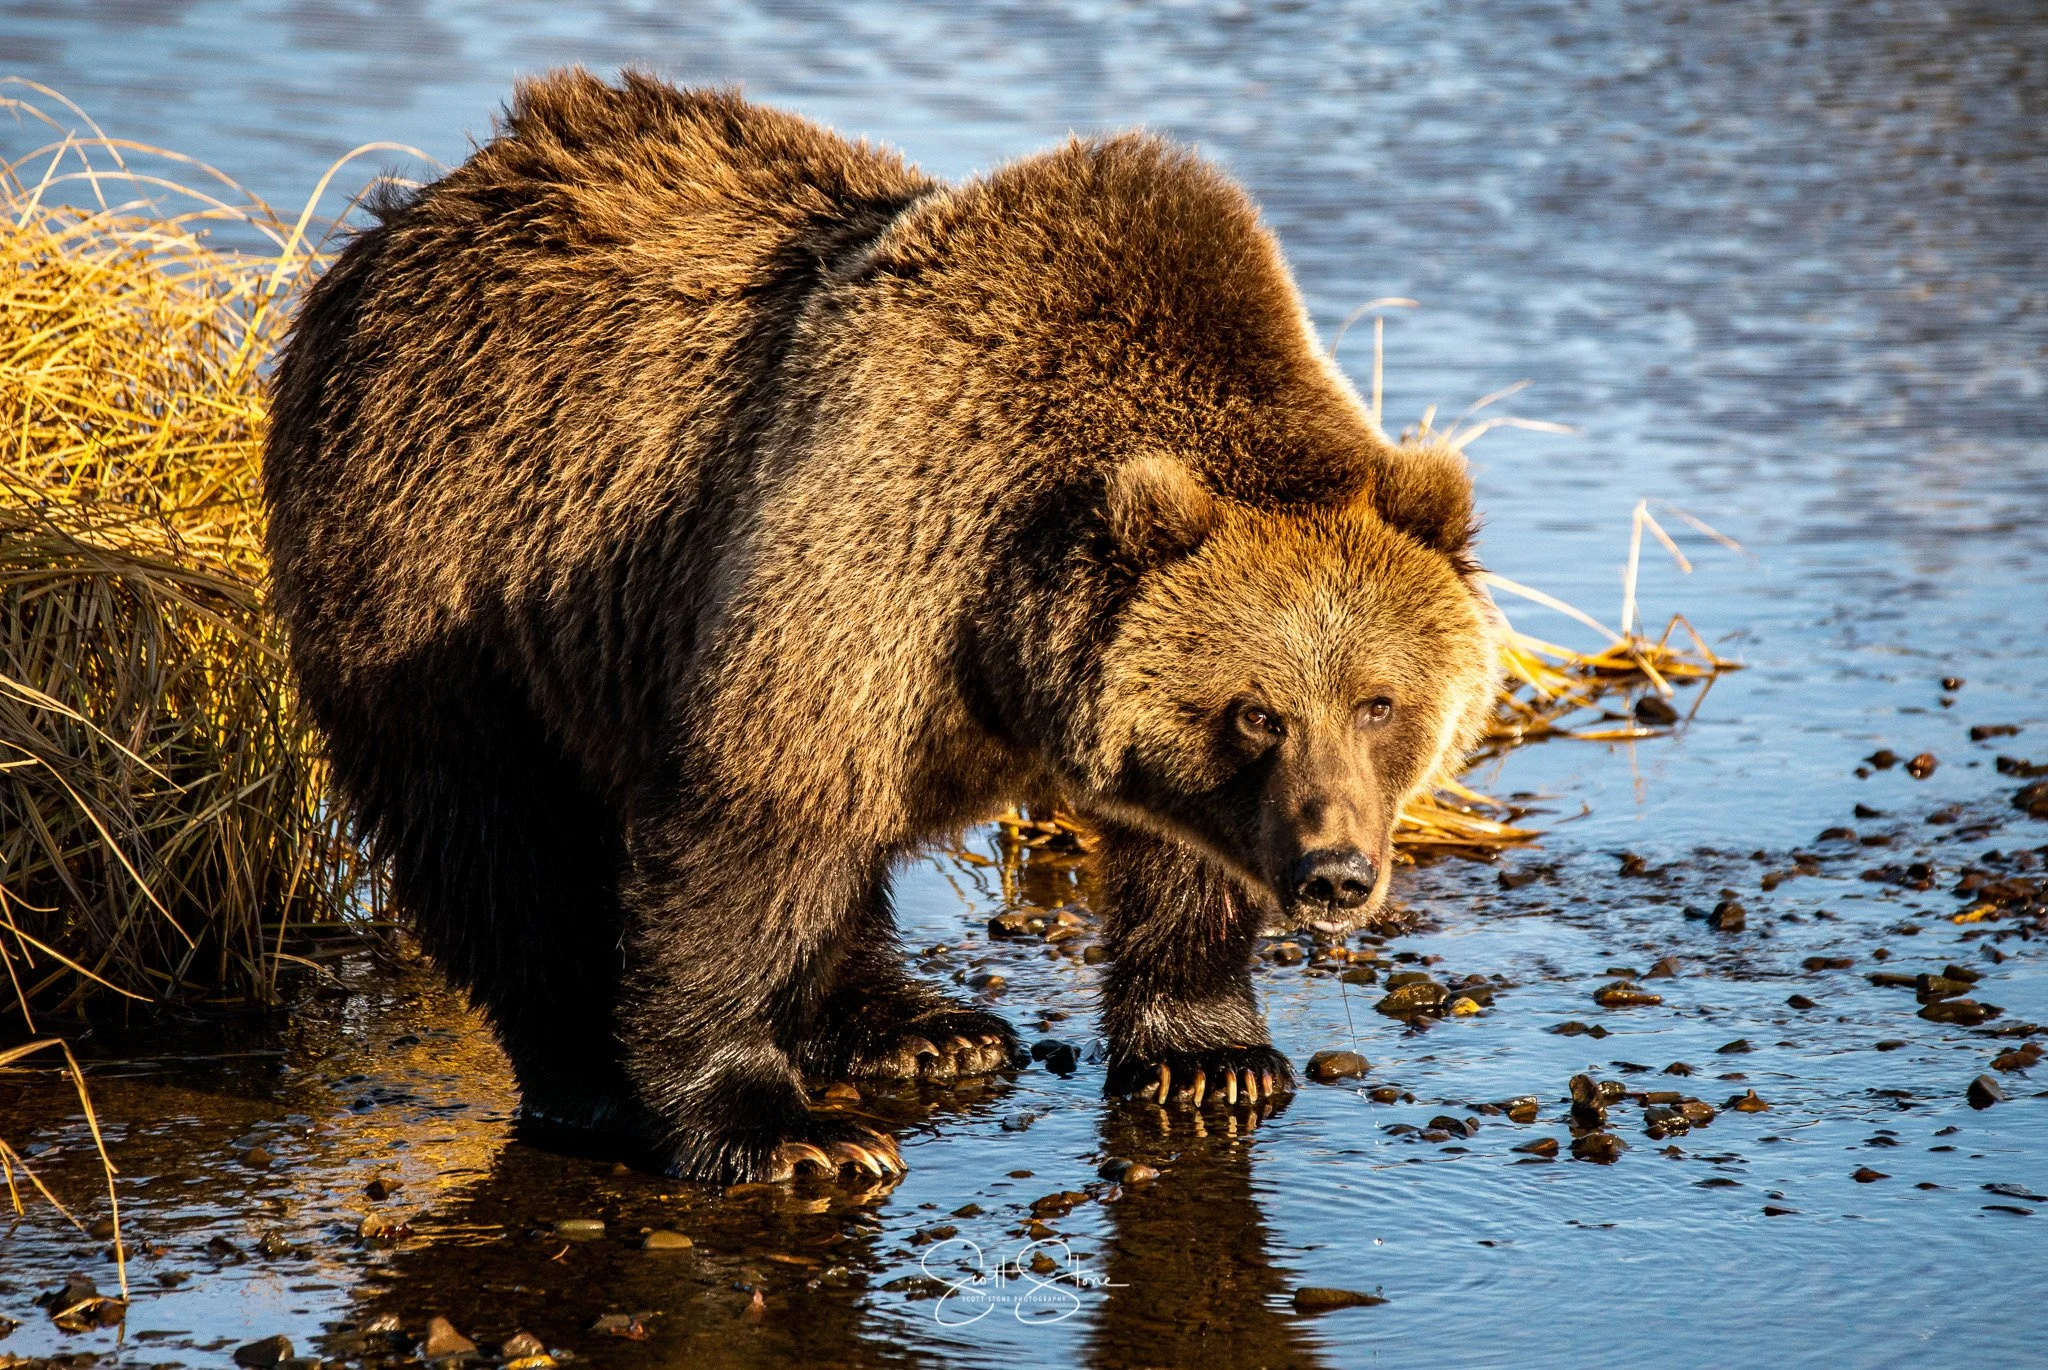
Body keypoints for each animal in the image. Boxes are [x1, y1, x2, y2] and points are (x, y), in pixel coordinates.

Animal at [262, 70, 1501, 1184]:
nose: (1334, 872)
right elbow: (751, 827)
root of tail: (410, 213)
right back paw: (590, 1073)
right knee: (491, 829)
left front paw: (1209, 1056)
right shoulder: (862, 556)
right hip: (438, 548)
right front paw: (780, 1128)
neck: (1004, 625)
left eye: (1376, 700)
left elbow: (1175, 859)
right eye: (1256, 711)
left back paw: (921, 1026)